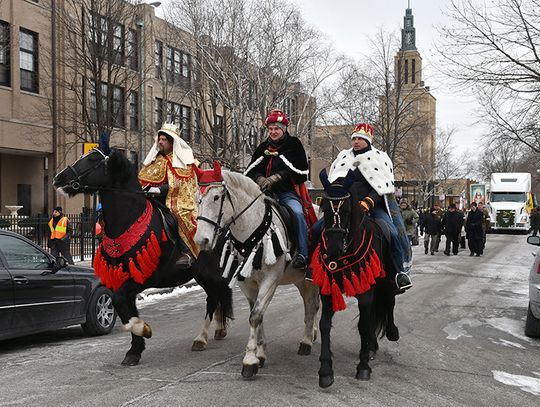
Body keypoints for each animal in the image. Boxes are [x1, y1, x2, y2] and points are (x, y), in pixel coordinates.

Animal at [52, 147, 232, 366]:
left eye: (93, 160)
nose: (59, 178)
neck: (129, 220)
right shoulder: (123, 277)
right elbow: (124, 307)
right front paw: (135, 349)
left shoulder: (146, 277)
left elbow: (120, 301)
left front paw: (143, 330)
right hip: (201, 273)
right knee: (216, 294)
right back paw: (218, 330)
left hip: (211, 271)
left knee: (215, 296)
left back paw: (202, 338)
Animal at [195, 169, 318, 380]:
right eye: (199, 199)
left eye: (217, 197)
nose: (201, 240)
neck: (251, 230)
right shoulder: (247, 283)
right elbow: (257, 315)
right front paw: (260, 354)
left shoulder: (270, 280)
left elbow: (255, 316)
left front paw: (249, 361)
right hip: (301, 280)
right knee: (309, 305)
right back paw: (309, 338)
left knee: (314, 305)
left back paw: (308, 341)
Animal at [312, 170, 400, 388]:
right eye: (324, 208)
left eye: (347, 209)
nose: (334, 249)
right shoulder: (328, 289)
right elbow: (325, 325)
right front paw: (325, 370)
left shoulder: (366, 293)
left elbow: (363, 326)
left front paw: (363, 368)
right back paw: (371, 347)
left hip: (386, 283)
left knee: (389, 303)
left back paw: (391, 333)